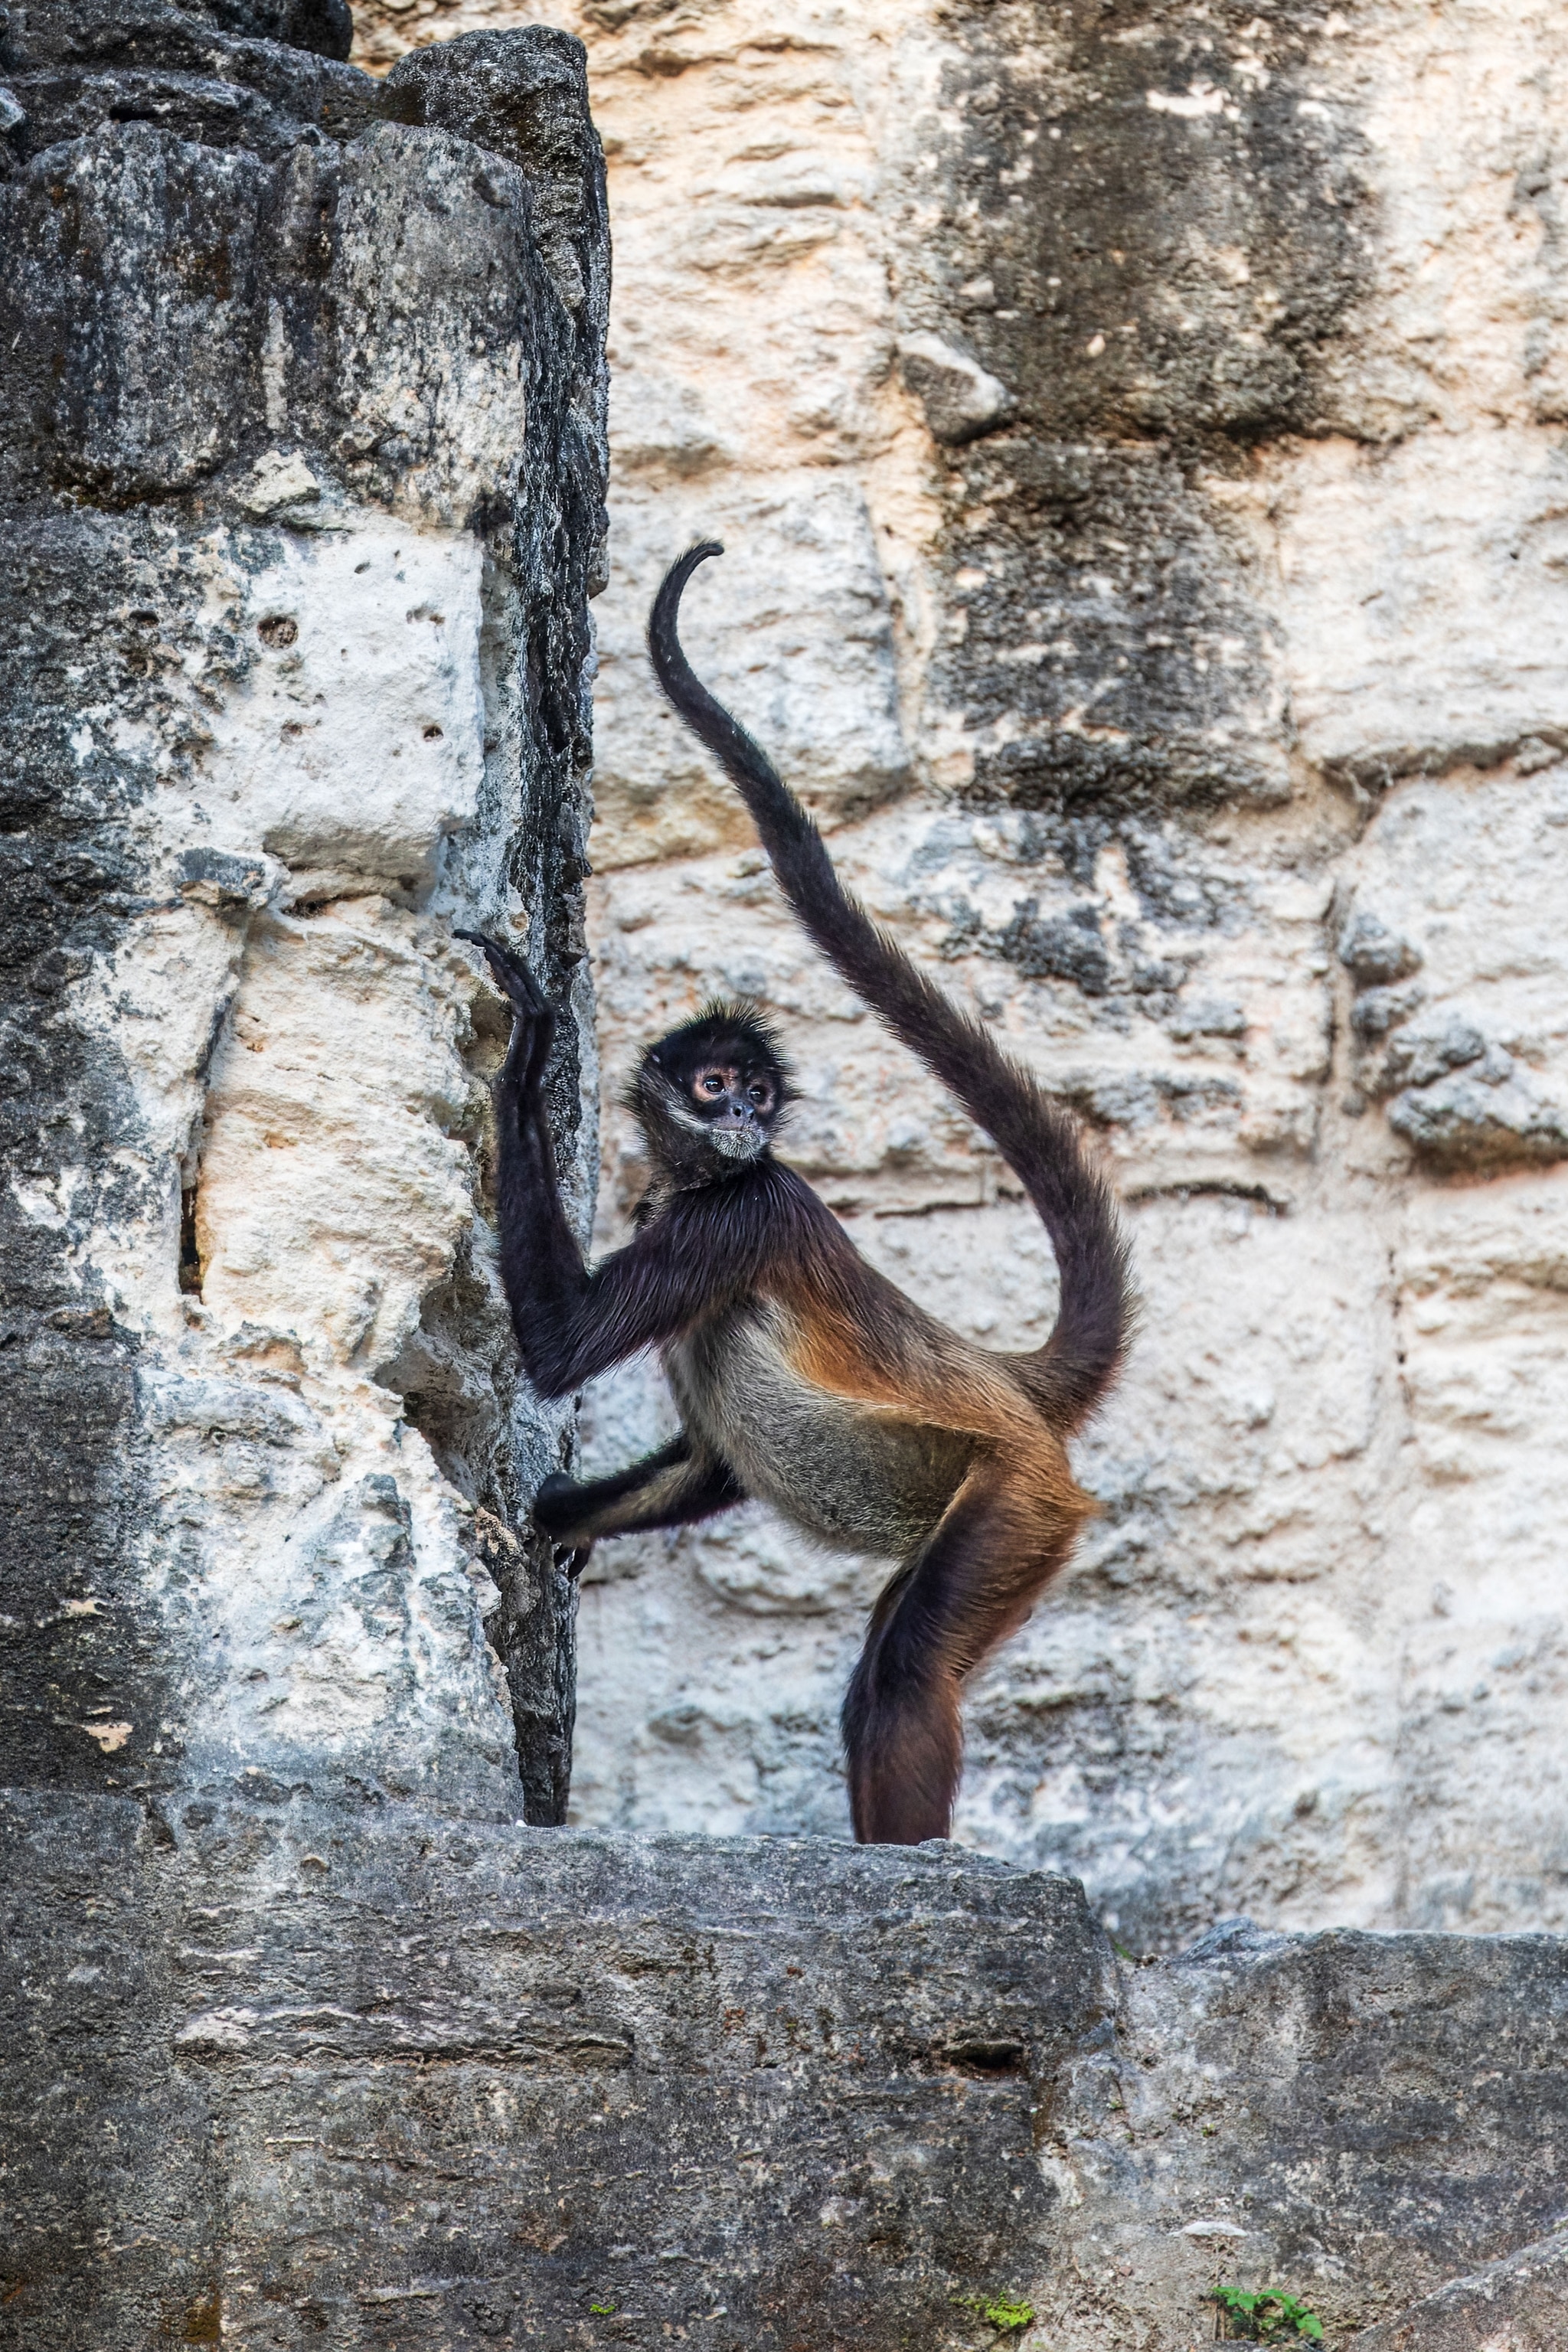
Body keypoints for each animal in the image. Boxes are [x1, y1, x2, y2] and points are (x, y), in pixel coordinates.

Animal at [460, 545, 1132, 1834]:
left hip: (1017, 1501)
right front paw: (563, 1515)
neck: (705, 1180)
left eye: (759, 1096)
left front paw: (529, 1046)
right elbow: (710, 1459)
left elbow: (562, 1347)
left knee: (906, 1672)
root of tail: (1011, 1387)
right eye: (716, 1083)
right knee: (888, 1667)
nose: (742, 1120)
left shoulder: (740, 1212)